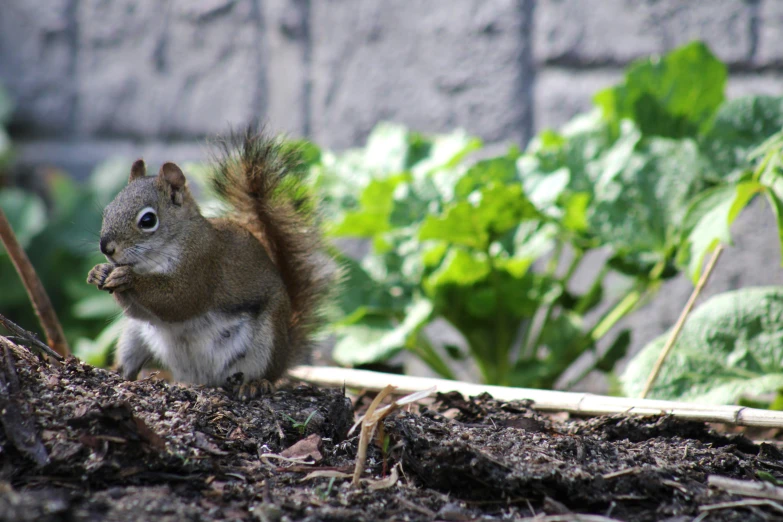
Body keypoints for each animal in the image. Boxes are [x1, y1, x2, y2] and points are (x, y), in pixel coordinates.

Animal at [87, 128, 332, 392]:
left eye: (148, 220)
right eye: (107, 211)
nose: (106, 248)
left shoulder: (203, 265)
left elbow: (177, 300)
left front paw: (128, 277)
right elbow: (140, 311)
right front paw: (99, 272)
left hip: (268, 338)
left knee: (266, 373)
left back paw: (256, 384)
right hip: (133, 336)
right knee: (130, 361)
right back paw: (117, 372)